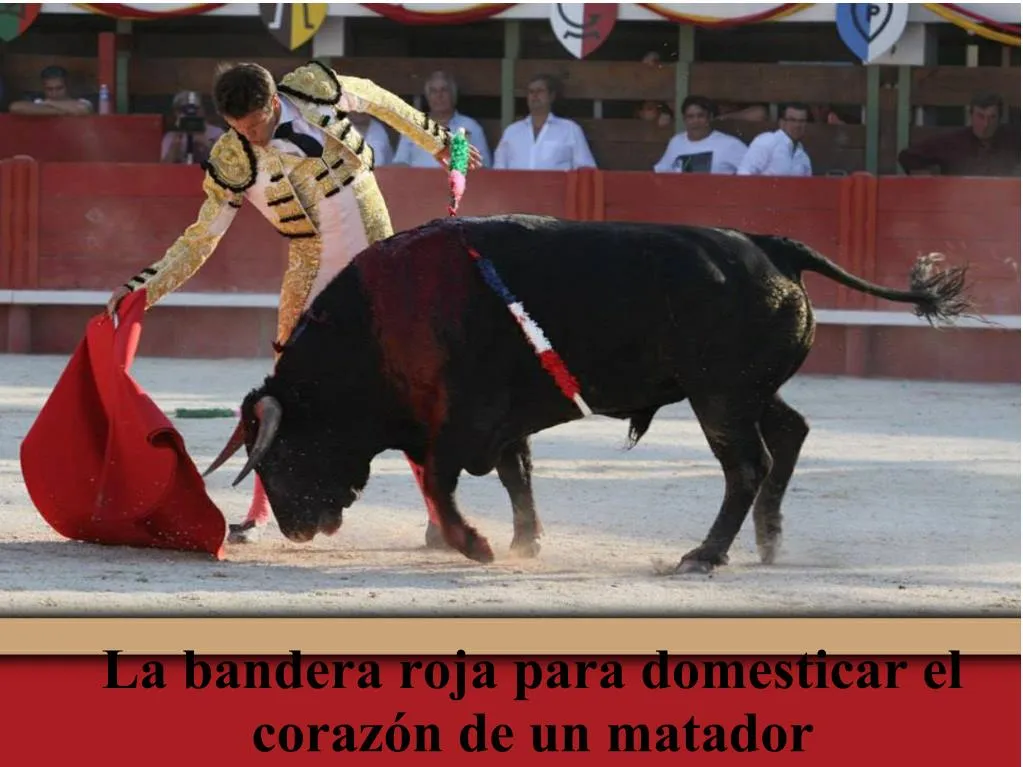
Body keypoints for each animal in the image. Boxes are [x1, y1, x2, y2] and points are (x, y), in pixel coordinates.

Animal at [203, 213, 969, 572]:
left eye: (279, 456)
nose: (296, 528)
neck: (377, 325)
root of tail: (770, 246)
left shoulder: (460, 423)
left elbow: (445, 483)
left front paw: (476, 546)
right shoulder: (502, 421)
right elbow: (516, 474)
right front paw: (525, 541)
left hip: (718, 396)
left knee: (748, 464)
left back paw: (704, 555)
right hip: (739, 390)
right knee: (788, 434)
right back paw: (768, 540)